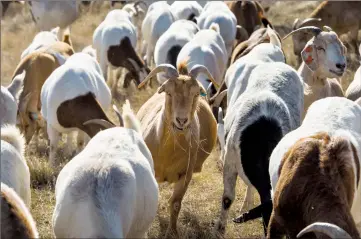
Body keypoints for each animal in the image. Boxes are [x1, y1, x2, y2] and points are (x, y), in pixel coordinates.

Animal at [136, 62, 217, 237]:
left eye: (196, 94)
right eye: (168, 92)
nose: (181, 120)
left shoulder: (185, 174)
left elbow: (175, 204)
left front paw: (172, 232)